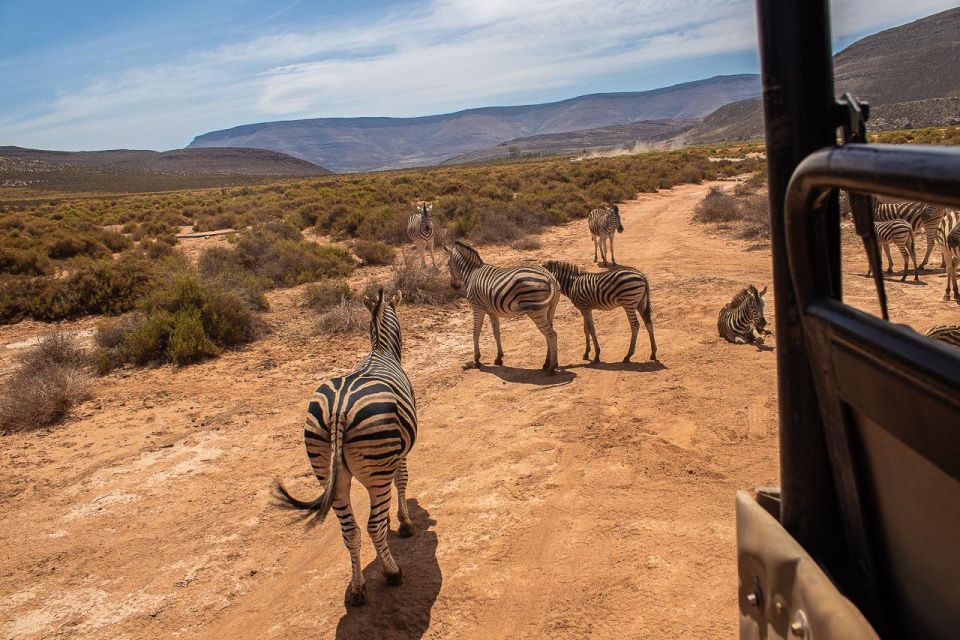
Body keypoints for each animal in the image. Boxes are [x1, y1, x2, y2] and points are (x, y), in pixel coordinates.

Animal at [274, 288, 416, 608]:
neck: (381, 350)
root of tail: (338, 409)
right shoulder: (400, 453)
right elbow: (402, 481)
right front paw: (404, 523)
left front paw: (392, 520)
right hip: (374, 466)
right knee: (370, 527)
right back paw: (393, 573)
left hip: (328, 472)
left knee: (350, 531)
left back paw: (358, 588)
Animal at [444, 240, 564, 372]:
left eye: (448, 264)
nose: (453, 286)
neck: (472, 274)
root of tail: (549, 276)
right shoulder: (492, 311)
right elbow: (496, 333)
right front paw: (499, 357)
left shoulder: (477, 307)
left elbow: (476, 332)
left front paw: (476, 360)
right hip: (550, 308)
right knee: (549, 333)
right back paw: (547, 363)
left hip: (536, 311)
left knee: (551, 334)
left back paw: (552, 367)